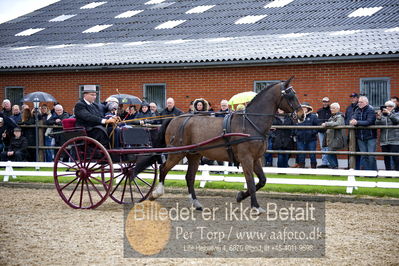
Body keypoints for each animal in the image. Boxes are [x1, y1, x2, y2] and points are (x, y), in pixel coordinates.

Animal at [152, 76, 304, 212]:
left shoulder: (256, 159)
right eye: (290, 95)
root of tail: (174, 119)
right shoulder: (246, 159)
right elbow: (251, 182)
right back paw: (156, 193)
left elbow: (262, 181)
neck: (250, 123)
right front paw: (255, 206)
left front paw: (240, 196)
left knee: (189, 177)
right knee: (163, 168)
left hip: (194, 155)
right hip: (177, 153)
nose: (302, 115)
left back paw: (196, 203)